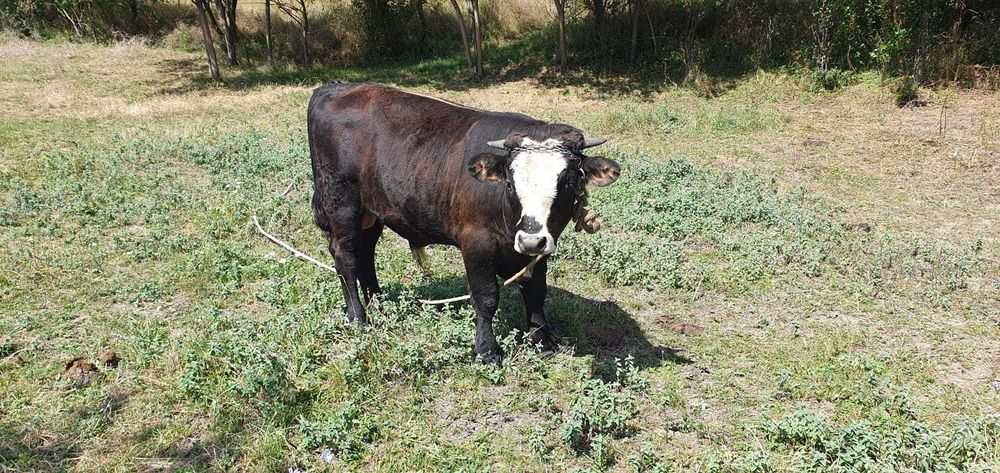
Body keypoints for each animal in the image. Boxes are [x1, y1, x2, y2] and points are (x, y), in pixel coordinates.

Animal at [308, 83, 621, 364]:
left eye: (567, 182)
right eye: (510, 183)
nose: (531, 239)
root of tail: (334, 88)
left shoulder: (539, 246)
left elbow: (535, 290)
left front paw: (541, 339)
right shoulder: (476, 243)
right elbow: (485, 297)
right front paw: (487, 349)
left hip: (372, 212)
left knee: (366, 253)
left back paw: (379, 301)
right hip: (342, 205)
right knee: (346, 257)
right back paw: (358, 316)